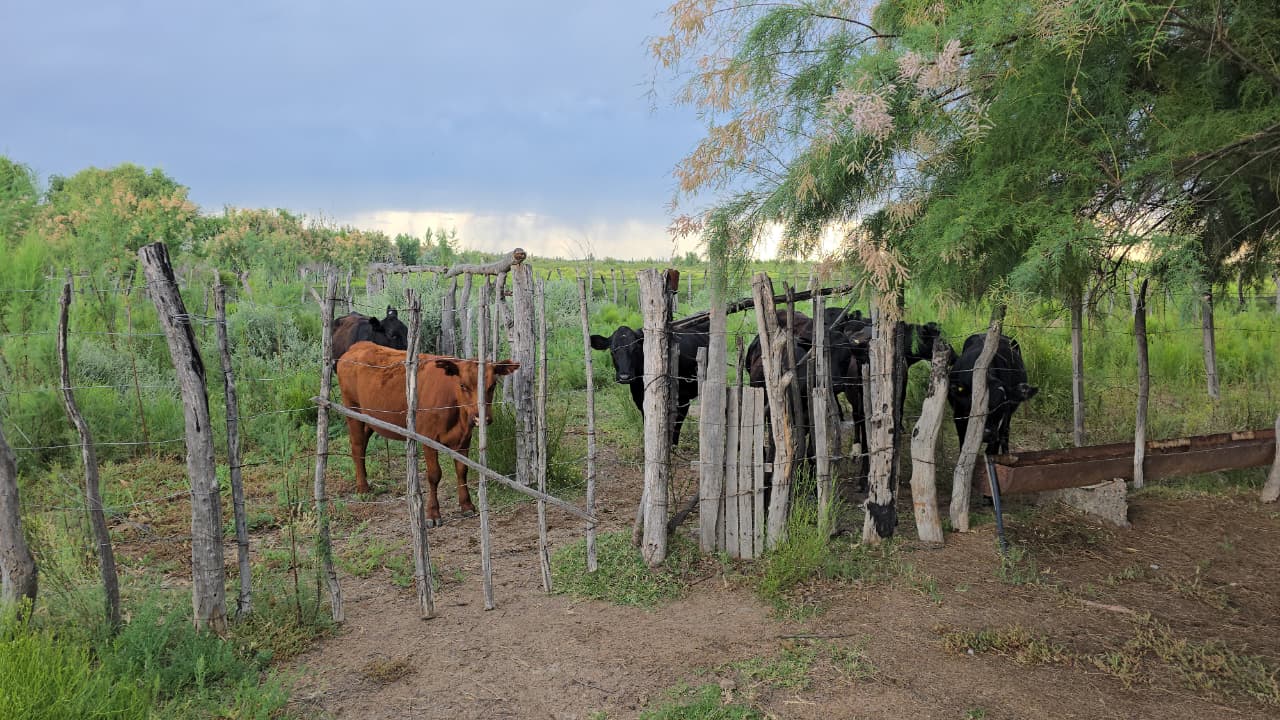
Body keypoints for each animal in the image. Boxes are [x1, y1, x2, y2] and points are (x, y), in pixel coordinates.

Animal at [336, 341, 519, 524]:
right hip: (352, 410)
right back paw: (362, 487)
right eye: (462, 385)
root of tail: (358, 346)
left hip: (369, 418)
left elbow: (462, 470)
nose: (481, 418)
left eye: (492, 386)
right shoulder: (428, 438)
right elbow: (434, 475)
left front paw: (466, 505)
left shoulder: (464, 438)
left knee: (362, 446)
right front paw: (433, 513)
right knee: (357, 446)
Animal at [589, 315, 710, 445]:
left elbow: (676, 425)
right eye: (612, 351)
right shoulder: (639, 399)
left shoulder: (683, 398)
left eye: (635, 349)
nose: (624, 377)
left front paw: (673, 446)